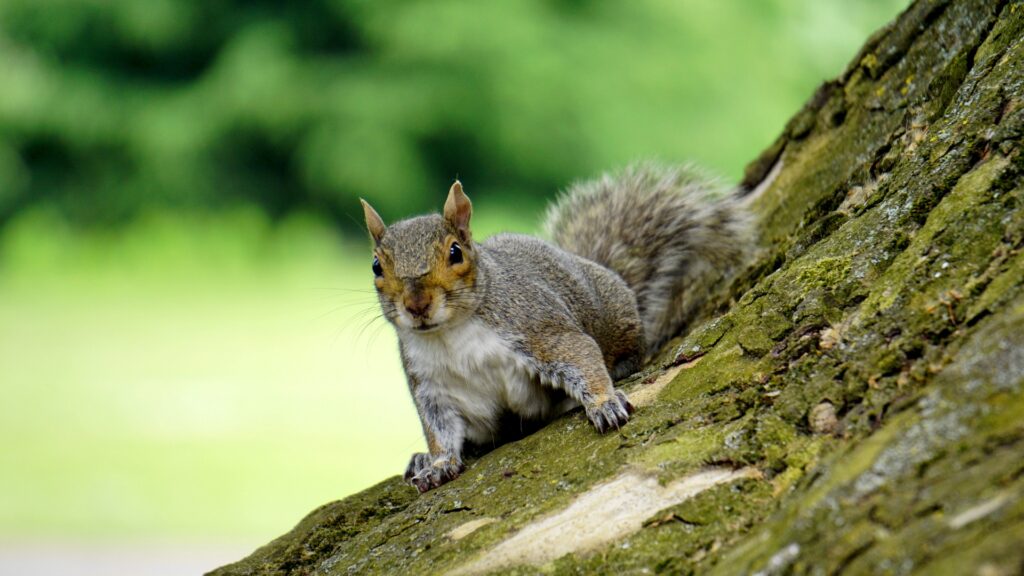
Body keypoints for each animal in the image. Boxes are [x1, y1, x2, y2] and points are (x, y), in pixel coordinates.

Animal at [360, 163, 753, 491]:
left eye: (456, 252)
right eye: (376, 266)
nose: (416, 305)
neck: (451, 334)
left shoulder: (537, 327)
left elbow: (580, 354)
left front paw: (604, 403)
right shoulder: (432, 385)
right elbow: (439, 429)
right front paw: (438, 463)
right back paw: (420, 459)